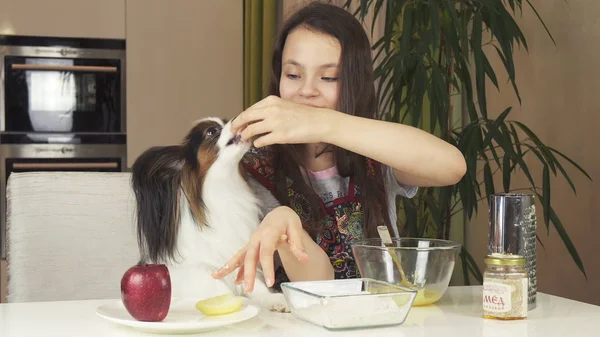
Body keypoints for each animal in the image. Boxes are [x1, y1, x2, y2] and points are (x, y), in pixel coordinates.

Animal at [131, 117, 288, 312]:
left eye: (226, 121)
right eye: (211, 131)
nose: (236, 121)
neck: (225, 187)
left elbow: (255, 286)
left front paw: (273, 299)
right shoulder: (198, 270)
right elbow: (222, 291)